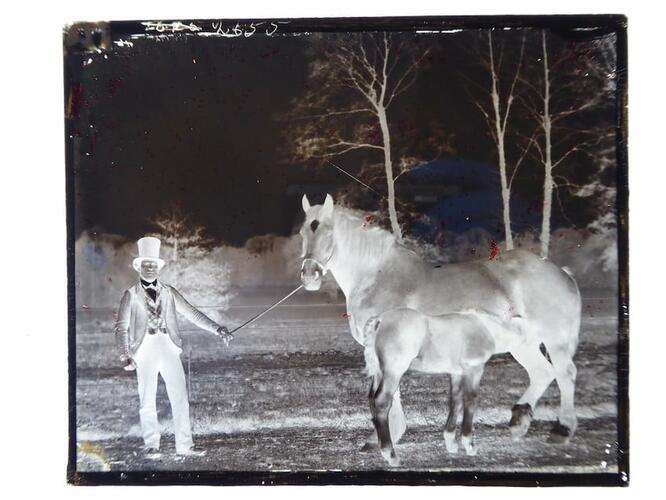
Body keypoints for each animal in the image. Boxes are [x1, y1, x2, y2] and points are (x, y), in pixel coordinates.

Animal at [298, 193, 580, 448]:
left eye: (327, 232)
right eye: (303, 233)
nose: (309, 275)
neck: (377, 275)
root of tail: (561, 272)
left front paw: (387, 436)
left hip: (553, 340)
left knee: (565, 373)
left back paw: (562, 429)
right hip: (523, 344)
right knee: (542, 373)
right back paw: (519, 422)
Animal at [360, 306, 520, 466]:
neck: (485, 327)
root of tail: (380, 320)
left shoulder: (456, 373)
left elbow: (455, 401)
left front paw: (451, 443)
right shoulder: (474, 369)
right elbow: (470, 400)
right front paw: (469, 444)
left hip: (379, 373)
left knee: (372, 399)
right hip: (393, 371)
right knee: (381, 402)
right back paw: (390, 454)